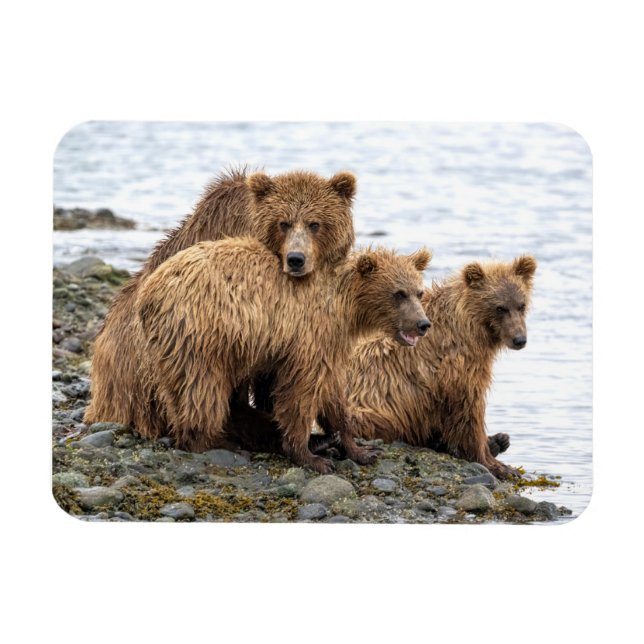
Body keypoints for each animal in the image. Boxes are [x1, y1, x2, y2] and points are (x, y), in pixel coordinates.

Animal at [134, 239, 432, 473]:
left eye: (419, 292)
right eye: (399, 293)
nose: (423, 324)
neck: (345, 307)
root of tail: (147, 292)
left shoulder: (332, 344)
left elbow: (334, 394)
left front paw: (360, 450)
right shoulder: (310, 334)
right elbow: (301, 391)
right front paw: (310, 457)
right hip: (200, 334)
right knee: (202, 389)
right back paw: (218, 442)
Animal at [346, 255, 537, 479]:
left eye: (521, 305)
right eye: (500, 307)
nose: (519, 339)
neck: (470, 327)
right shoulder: (456, 366)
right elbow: (468, 409)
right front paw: (499, 465)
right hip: (368, 408)